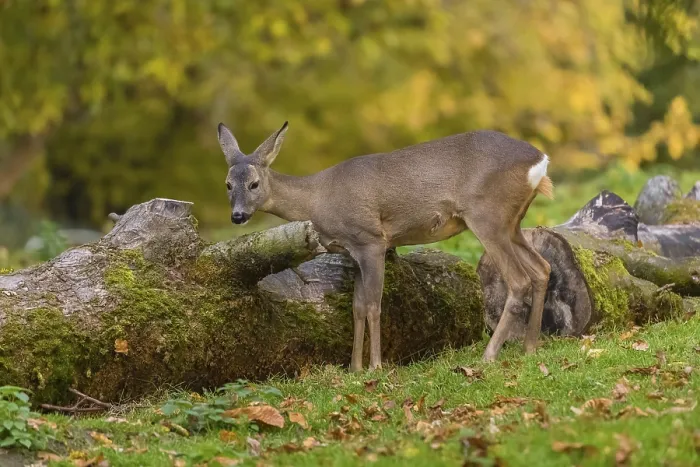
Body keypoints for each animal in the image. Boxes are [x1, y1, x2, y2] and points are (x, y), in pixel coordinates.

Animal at [217, 121, 553, 372]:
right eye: (228, 185)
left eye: (254, 184)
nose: (238, 216)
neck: (318, 198)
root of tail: (540, 161)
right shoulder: (352, 252)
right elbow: (357, 308)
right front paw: (355, 368)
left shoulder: (371, 240)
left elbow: (374, 305)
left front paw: (375, 366)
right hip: (512, 223)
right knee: (542, 268)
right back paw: (530, 347)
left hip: (486, 214)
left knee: (519, 279)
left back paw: (489, 355)